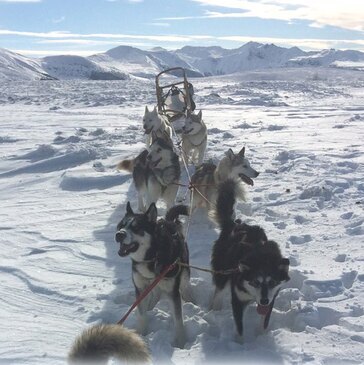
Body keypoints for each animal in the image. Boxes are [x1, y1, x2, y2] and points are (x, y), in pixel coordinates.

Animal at [115, 202, 192, 346]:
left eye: (136, 227)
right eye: (121, 225)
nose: (119, 235)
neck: (152, 257)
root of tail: (169, 221)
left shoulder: (173, 291)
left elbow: (178, 320)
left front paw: (181, 342)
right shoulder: (140, 287)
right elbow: (141, 314)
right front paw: (141, 334)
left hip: (184, 271)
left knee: (185, 285)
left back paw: (189, 299)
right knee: (154, 293)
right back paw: (150, 307)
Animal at [210, 178, 290, 338]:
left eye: (272, 282)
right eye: (255, 282)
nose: (264, 301)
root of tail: (233, 224)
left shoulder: (271, 299)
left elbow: (264, 323)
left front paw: (261, 339)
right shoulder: (237, 300)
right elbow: (240, 329)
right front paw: (239, 343)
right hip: (222, 271)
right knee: (218, 292)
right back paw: (215, 310)